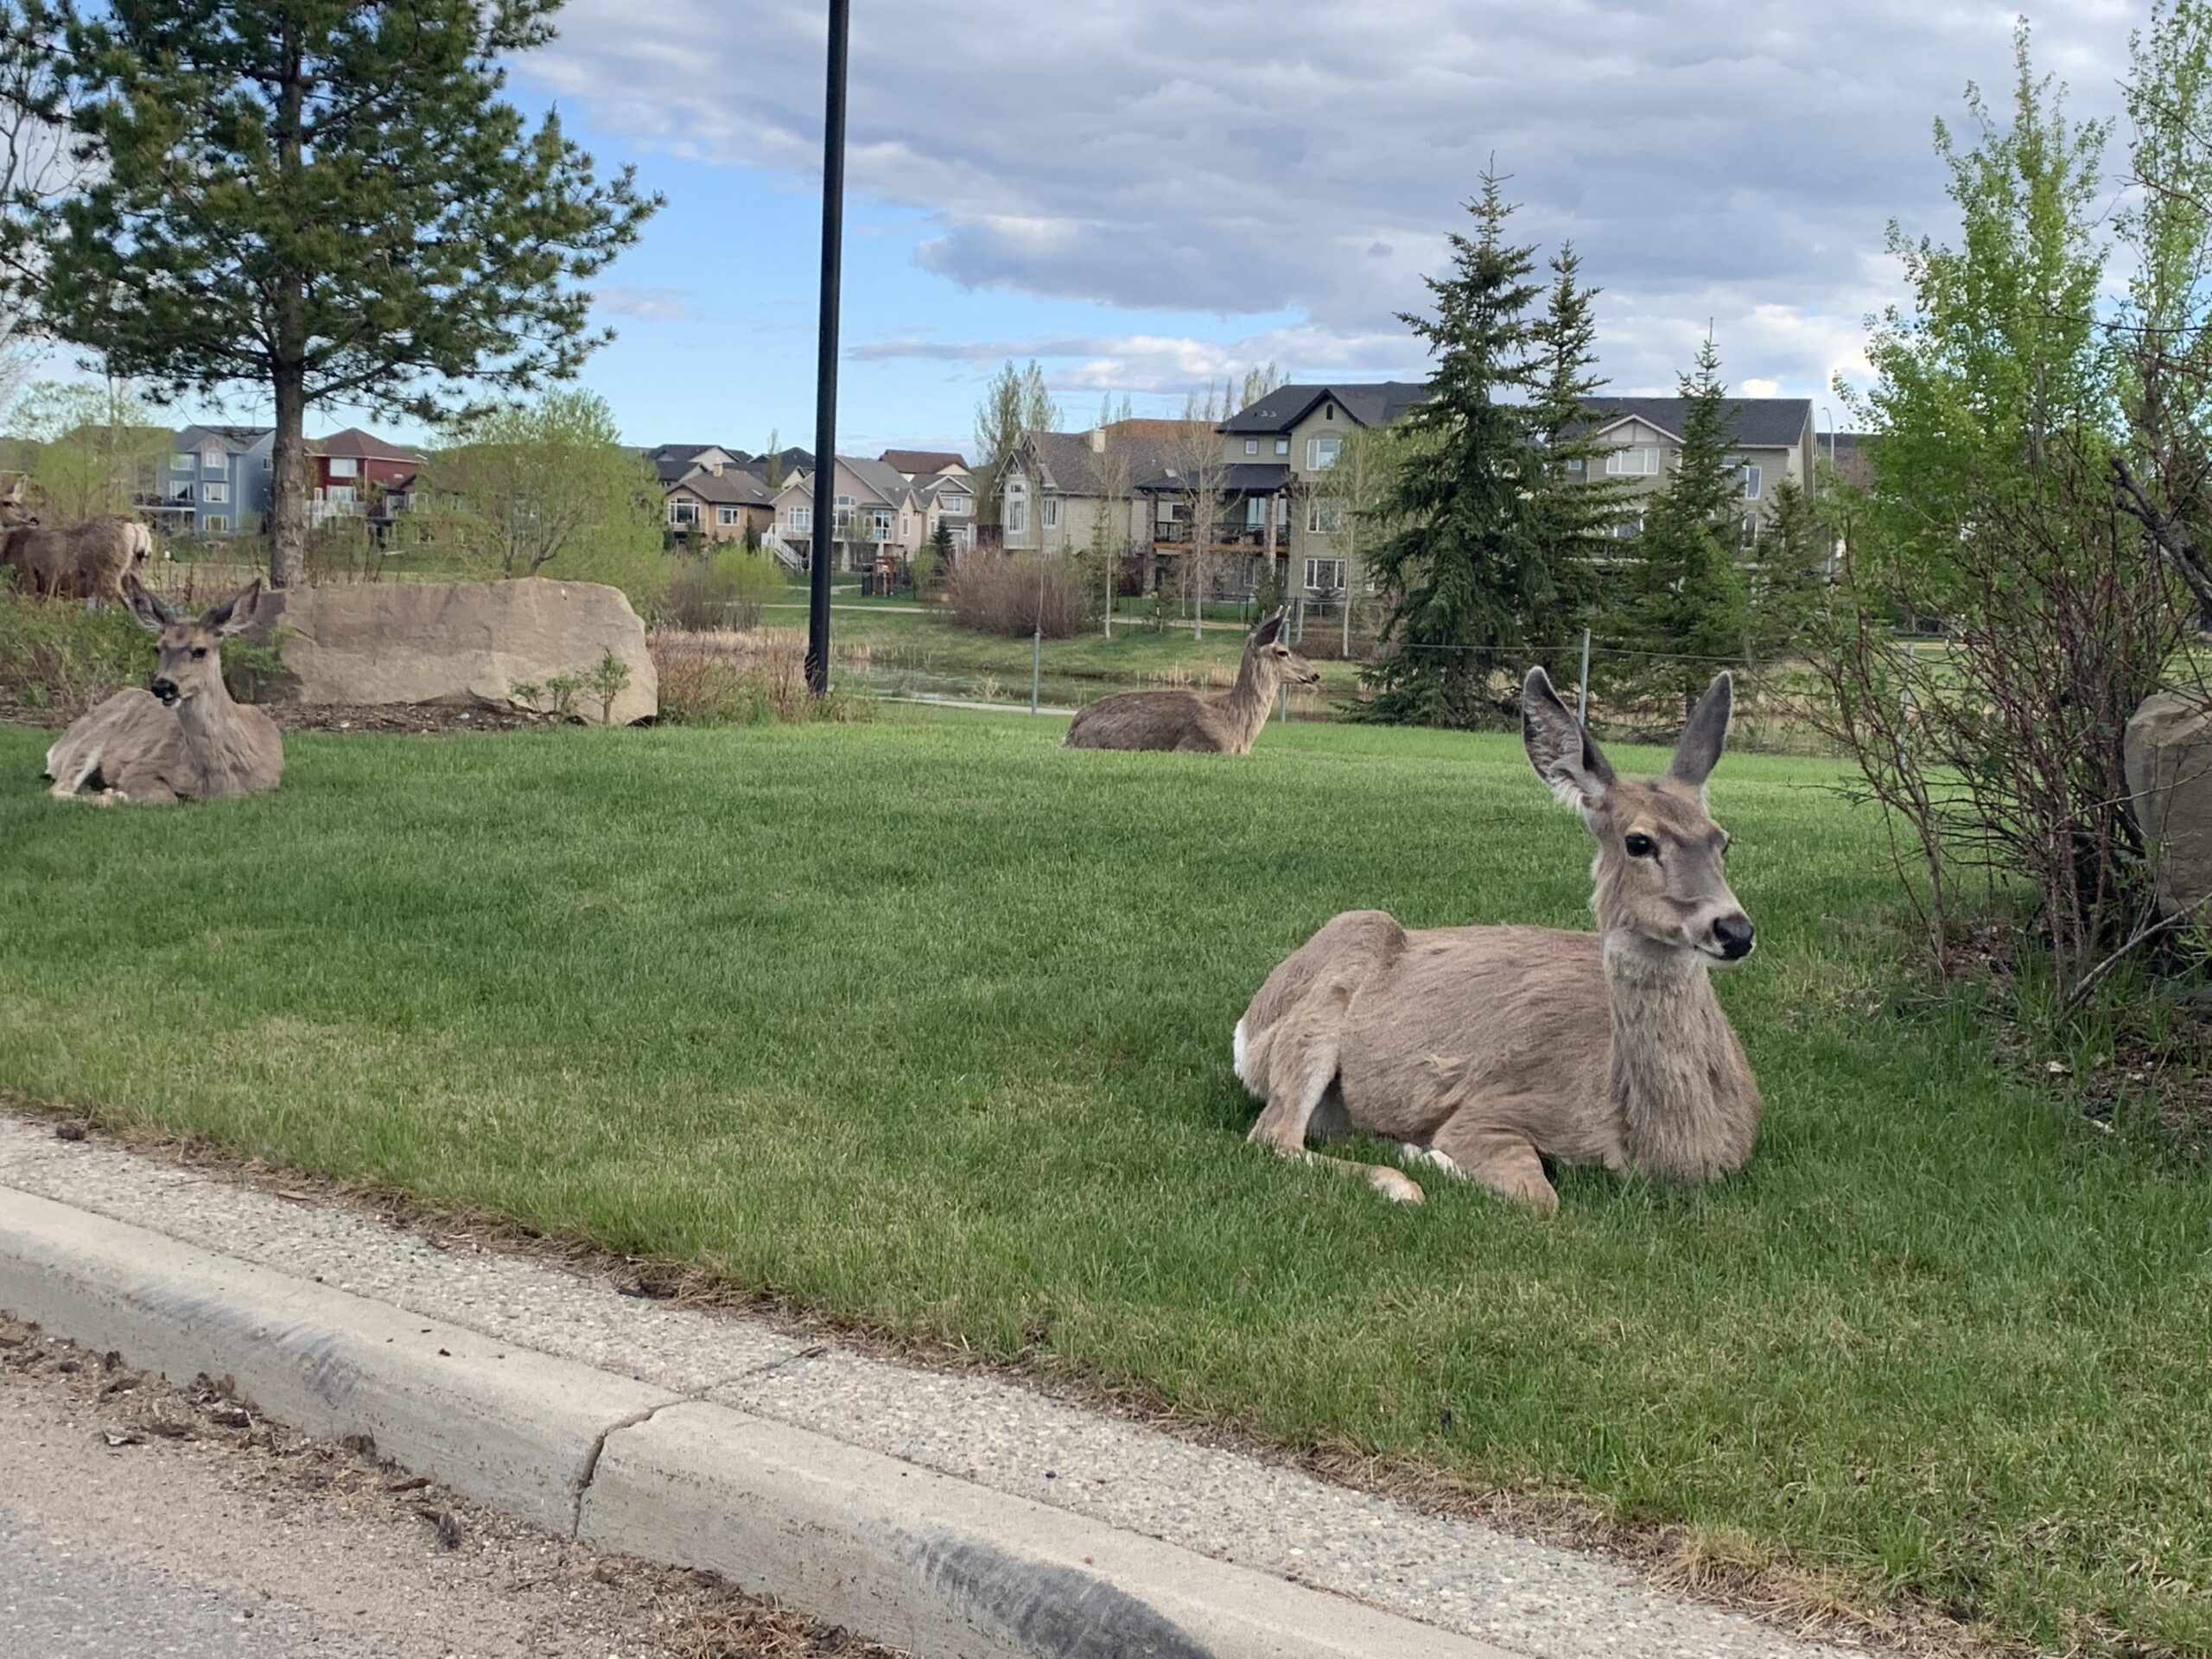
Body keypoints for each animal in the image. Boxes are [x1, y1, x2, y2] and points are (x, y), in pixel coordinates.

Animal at [43, 574, 284, 805]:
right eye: (157, 648)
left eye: (200, 650)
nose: (163, 686)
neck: (219, 783)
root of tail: (58, 746)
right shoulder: (140, 766)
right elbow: (166, 798)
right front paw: (115, 793)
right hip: (89, 741)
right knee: (57, 789)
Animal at [1233, 667, 1760, 1212]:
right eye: (1639, 842)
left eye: (1723, 840)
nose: (1734, 930)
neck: (1667, 1150)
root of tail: (1248, 1025)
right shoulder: (1494, 1106)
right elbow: (1539, 1196)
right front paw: (1424, 1154)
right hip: (1321, 1003)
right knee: (1274, 1134)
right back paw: (1399, 1180)